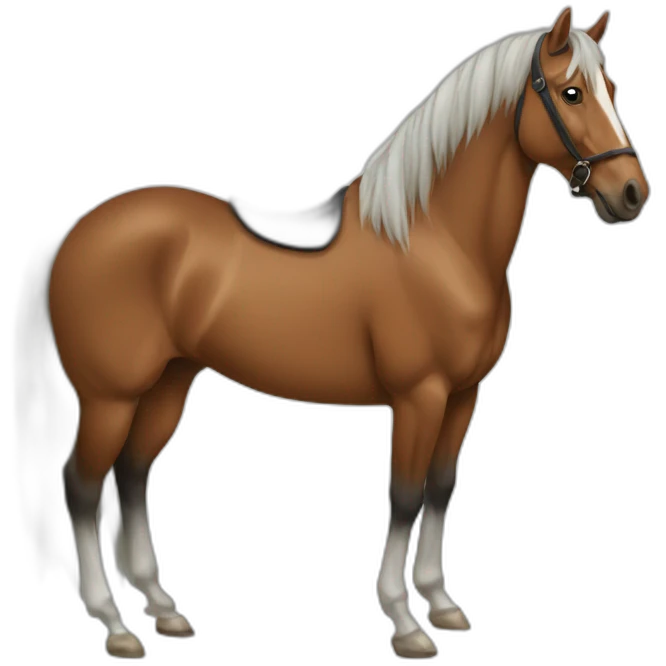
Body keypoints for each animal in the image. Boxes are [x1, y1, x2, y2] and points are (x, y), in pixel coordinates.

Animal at [32, 6, 648, 660]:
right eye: (572, 92)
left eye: (612, 91)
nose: (632, 194)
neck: (435, 238)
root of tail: (81, 235)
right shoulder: (419, 395)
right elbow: (404, 495)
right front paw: (406, 624)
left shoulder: (462, 396)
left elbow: (440, 488)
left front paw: (443, 605)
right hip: (109, 397)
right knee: (82, 485)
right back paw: (118, 628)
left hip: (168, 384)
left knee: (131, 473)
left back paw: (164, 609)